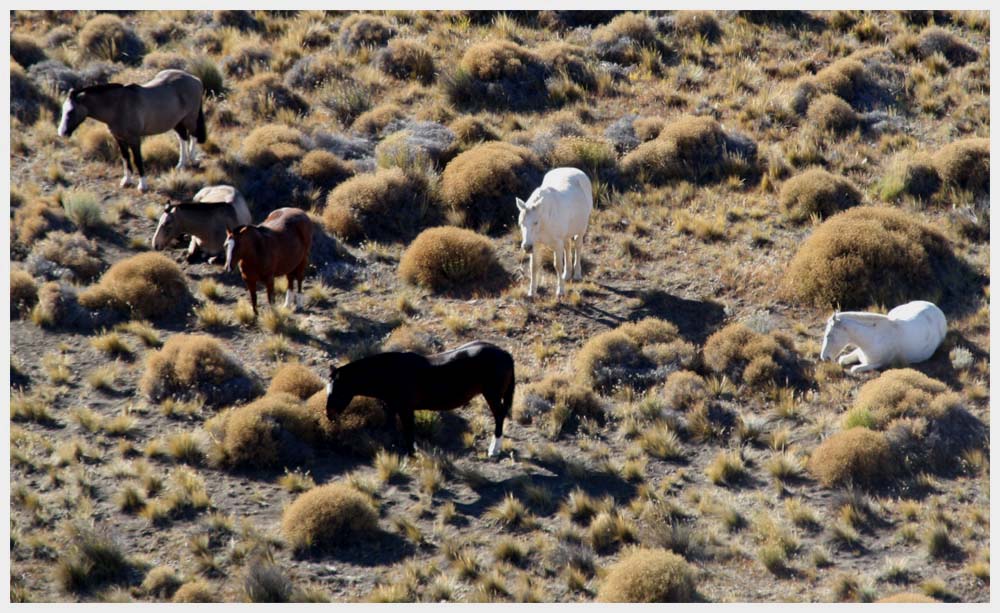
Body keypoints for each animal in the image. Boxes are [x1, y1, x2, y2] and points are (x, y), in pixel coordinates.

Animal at [57, 68, 206, 191]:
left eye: (71, 111)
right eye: (63, 110)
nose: (62, 133)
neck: (118, 106)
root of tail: (195, 79)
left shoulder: (134, 139)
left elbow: (137, 160)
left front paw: (142, 185)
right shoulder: (119, 138)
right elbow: (126, 158)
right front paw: (126, 181)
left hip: (190, 118)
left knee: (193, 136)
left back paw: (193, 160)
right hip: (177, 122)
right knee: (183, 138)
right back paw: (181, 164)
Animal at [326, 342, 516, 456]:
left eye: (337, 391)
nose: (329, 415)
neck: (389, 373)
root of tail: (505, 353)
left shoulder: (406, 410)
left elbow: (409, 433)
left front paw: (412, 455)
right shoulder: (393, 408)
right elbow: (393, 428)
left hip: (492, 395)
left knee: (499, 416)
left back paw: (493, 450)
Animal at [516, 167, 592, 296]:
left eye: (535, 222)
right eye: (521, 223)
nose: (526, 247)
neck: (544, 222)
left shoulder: (557, 243)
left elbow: (557, 265)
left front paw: (560, 290)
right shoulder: (536, 244)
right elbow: (533, 266)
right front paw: (532, 291)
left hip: (581, 229)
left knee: (577, 246)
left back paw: (577, 274)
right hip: (565, 234)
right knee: (567, 246)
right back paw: (567, 274)